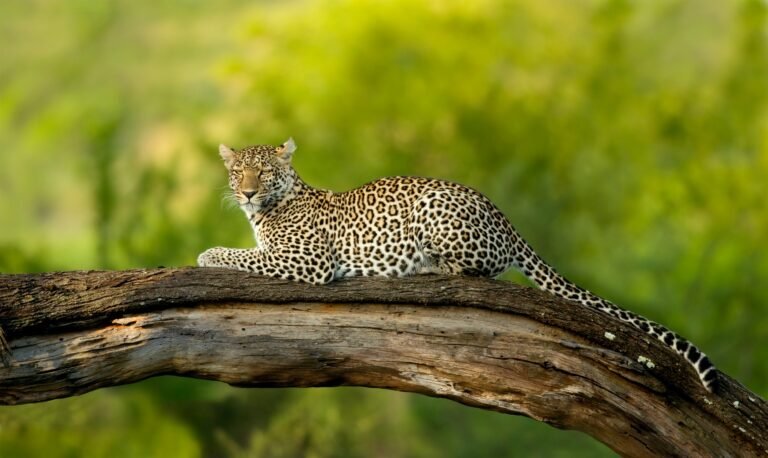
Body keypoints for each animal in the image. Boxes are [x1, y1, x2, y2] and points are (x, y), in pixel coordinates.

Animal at [197, 138, 719, 392]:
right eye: (237, 171)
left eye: (264, 172)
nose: (247, 191)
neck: (263, 211)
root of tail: (503, 217)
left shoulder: (306, 260)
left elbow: (235, 254)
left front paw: (205, 254)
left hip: (435, 211)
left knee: (477, 270)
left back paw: (424, 268)